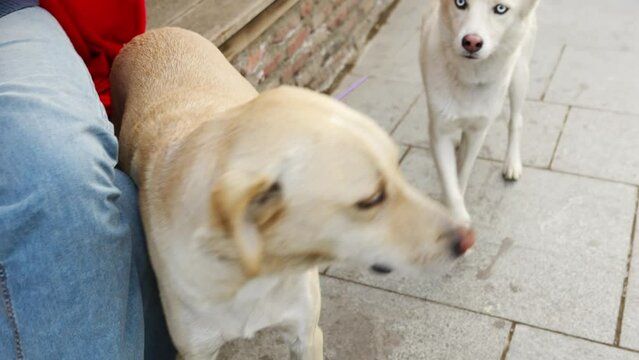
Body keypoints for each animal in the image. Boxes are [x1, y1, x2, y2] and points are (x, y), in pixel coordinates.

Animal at [111, 26, 476, 358]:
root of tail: (155, 31)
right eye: (371, 200)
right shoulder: (196, 351)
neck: (255, 271)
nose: (468, 239)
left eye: (397, 169)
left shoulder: (307, 335)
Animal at [420, 0, 540, 224]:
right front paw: (455, 214)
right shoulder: (440, 132)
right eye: (460, 3)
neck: (469, 76)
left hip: (519, 74)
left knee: (516, 120)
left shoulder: (478, 132)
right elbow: (450, 184)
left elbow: (461, 177)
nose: (471, 42)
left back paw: (512, 163)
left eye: (500, 9)